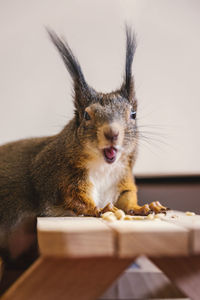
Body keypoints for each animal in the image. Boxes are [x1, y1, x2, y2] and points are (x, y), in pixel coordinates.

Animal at [0, 27, 168, 264]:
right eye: (86, 115)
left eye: (133, 114)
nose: (112, 133)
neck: (104, 167)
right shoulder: (60, 177)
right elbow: (75, 199)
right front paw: (101, 209)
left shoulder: (123, 179)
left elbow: (127, 199)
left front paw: (145, 207)